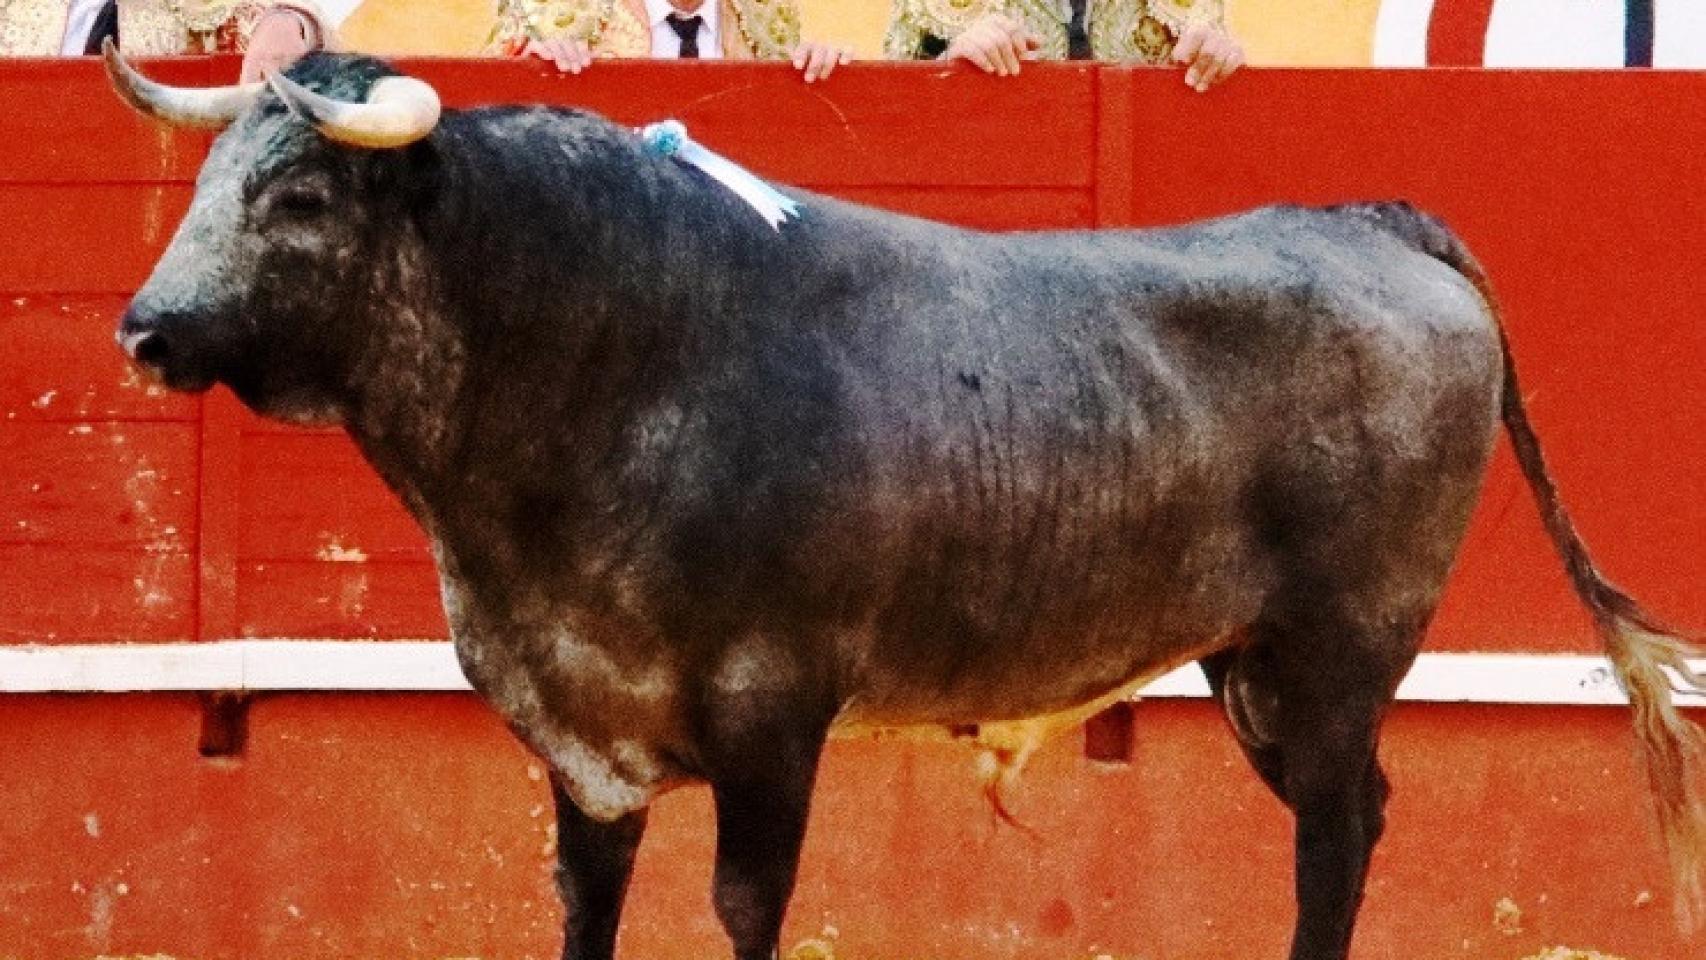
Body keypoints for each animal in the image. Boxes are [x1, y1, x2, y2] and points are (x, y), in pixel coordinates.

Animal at [106, 46, 1706, 960]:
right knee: (1355, 815)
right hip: (1256, 667)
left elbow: (746, 908)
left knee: (1337, 835)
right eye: (205, 180)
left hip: (1335, 654)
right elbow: (581, 904)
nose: (145, 330)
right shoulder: (581, 741)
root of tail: (1370, 222)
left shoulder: (771, 718)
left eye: (302, 200)